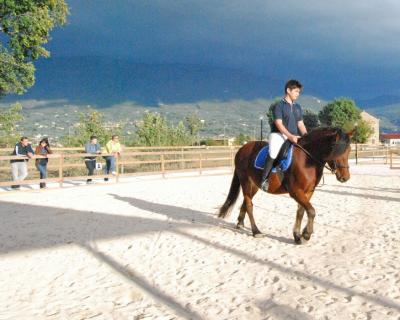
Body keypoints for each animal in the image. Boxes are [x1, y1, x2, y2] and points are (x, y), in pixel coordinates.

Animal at [217, 126, 352, 244]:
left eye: (349, 150)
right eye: (336, 150)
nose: (345, 177)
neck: (307, 159)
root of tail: (242, 149)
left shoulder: (308, 191)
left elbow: (301, 211)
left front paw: (298, 235)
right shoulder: (296, 191)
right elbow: (311, 211)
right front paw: (306, 234)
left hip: (253, 185)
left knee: (245, 201)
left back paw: (240, 223)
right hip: (245, 181)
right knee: (249, 205)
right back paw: (256, 231)